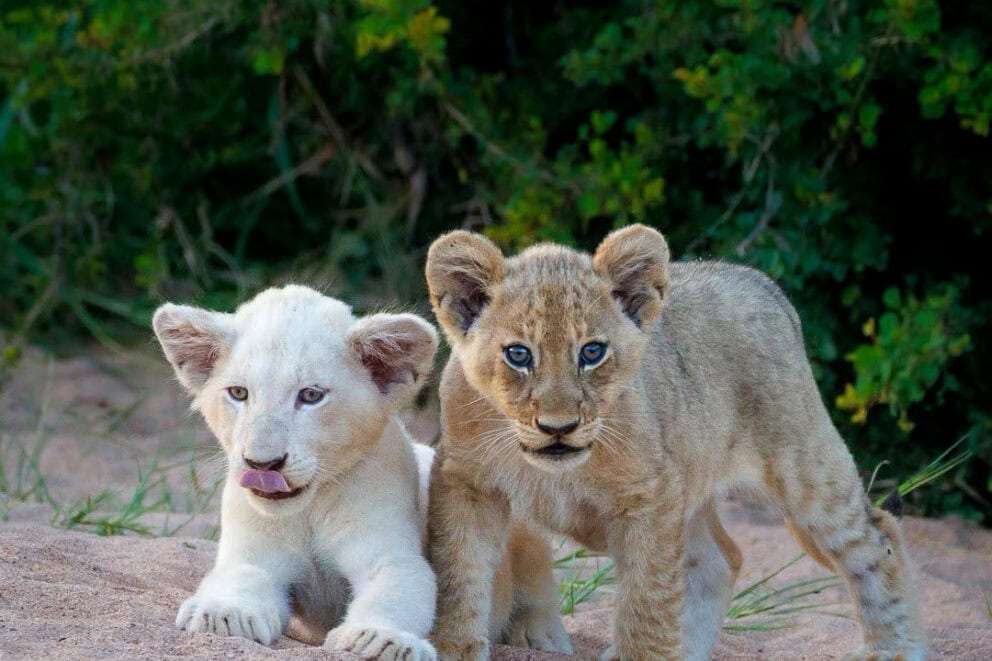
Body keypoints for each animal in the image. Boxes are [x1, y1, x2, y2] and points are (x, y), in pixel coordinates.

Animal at [153, 285, 440, 660]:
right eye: (239, 393)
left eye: (311, 395)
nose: (262, 464)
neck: (310, 510)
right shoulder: (254, 554)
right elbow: (240, 578)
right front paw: (224, 615)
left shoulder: (391, 555)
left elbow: (395, 592)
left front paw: (380, 639)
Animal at [424, 225, 926, 660]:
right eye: (518, 355)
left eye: (592, 352)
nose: (558, 427)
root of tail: (761, 282)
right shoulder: (465, 483)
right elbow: (458, 572)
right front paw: (453, 648)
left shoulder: (650, 495)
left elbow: (647, 597)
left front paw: (642, 653)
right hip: (691, 486)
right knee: (720, 561)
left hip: (804, 469)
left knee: (877, 537)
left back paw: (896, 649)